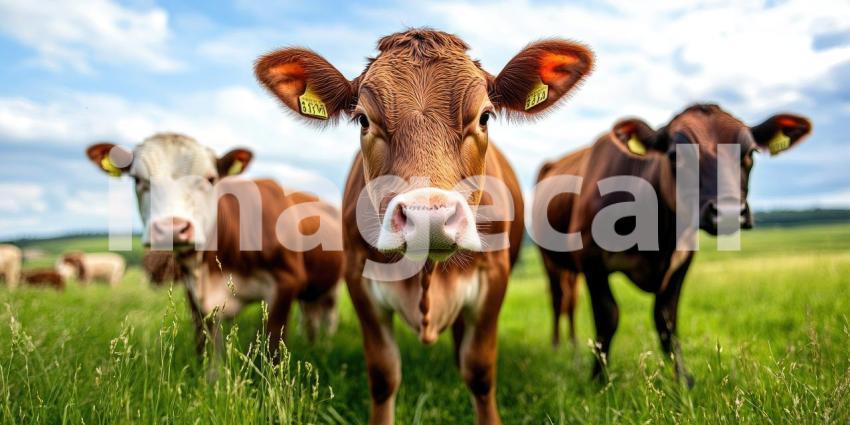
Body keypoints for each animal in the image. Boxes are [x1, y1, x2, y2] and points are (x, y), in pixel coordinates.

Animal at [85, 133, 344, 351]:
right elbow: (208, 353)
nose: (172, 228)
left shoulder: (286, 283)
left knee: (328, 317)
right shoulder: (196, 296)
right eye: (138, 179)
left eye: (210, 179)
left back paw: (325, 346)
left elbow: (273, 350)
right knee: (310, 317)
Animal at [256, 28, 594, 424]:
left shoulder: (494, 276)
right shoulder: (357, 276)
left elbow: (479, 371)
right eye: (363, 120)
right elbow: (383, 374)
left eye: (485, 117)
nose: (427, 218)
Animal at [533, 104, 812, 386]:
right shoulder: (591, 259)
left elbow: (666, 320)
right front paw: (600, 379)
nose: (729, 211)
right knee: (558, 299)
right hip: (549, 260)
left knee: (571, 301)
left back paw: (573, 345)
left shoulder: (682, 259)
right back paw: (558, 347)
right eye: (675, 155)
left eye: (750, 152)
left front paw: (682, 379)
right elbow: (608, 316)